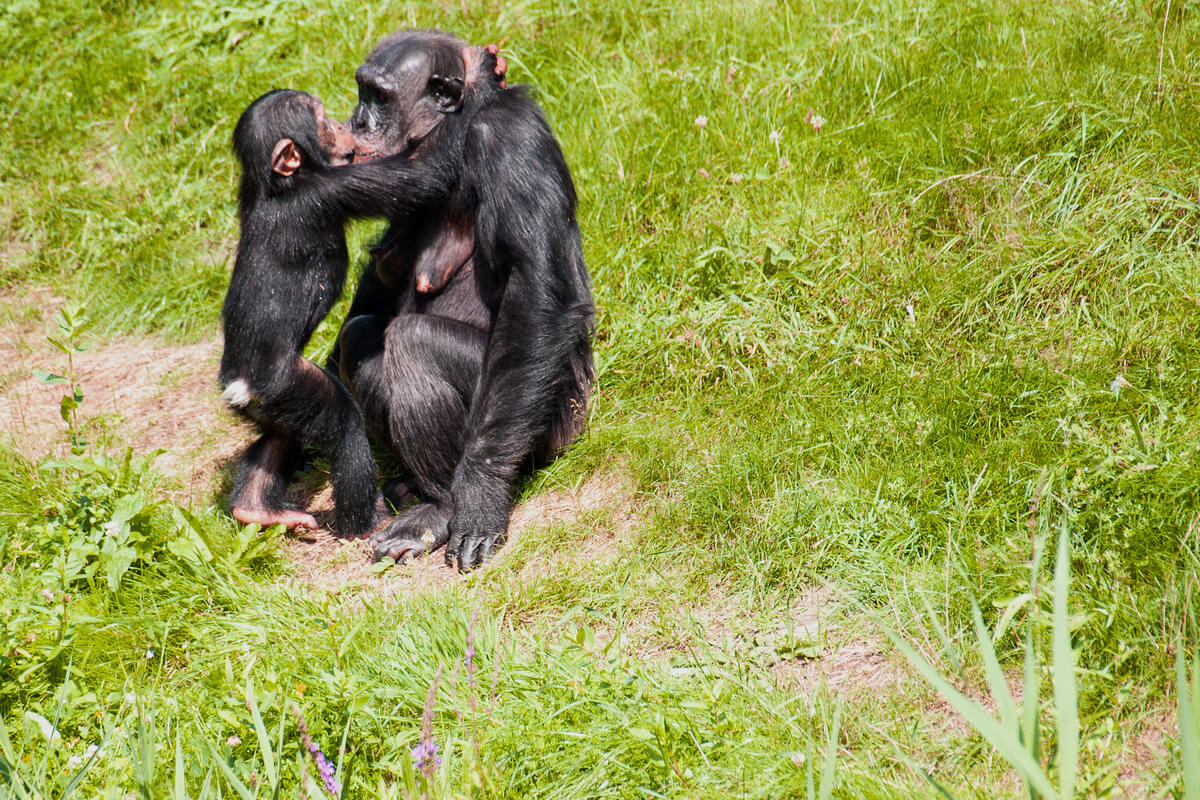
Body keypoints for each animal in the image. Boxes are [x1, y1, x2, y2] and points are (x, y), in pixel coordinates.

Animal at [223, 67, 499, 537]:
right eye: (321, 121)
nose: (343, 124)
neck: (276, 183)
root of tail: (236, 386)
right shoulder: (333, 188)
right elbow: (420, 176)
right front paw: (482, 76)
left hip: (266, 405)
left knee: (278, 436)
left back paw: (255, 509)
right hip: (286, 385)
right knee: (343, 429)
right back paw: (366, 519)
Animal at [326, 29, 592, 568]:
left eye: (379, 97)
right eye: (362, 90)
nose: (356, 122)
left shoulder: (510, 140)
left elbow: (535, 287)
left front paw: (482, 494)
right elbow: (379, 282)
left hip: (553, 419)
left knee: (413, 343)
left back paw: (445, 507)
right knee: (363, 337)